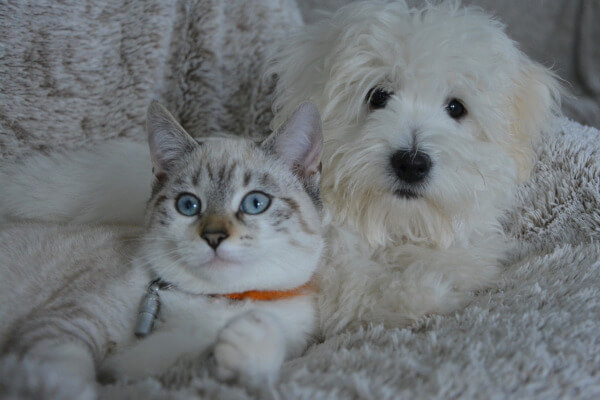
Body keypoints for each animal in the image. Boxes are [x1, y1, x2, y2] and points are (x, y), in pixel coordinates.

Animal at [0, 101, 324, 398]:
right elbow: (67, 381)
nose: (214, 237)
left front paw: (250, 337)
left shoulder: (156, 373)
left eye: (255, 203)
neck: (218, 300)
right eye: (188, 205)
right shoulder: (65, 330)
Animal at [2, 1, 560, 336]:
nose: (412, 161)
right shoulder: (327, 283)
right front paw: (425, 292)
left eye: (456, 108)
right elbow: (372, 294)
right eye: (378, 96)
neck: (385, 223)